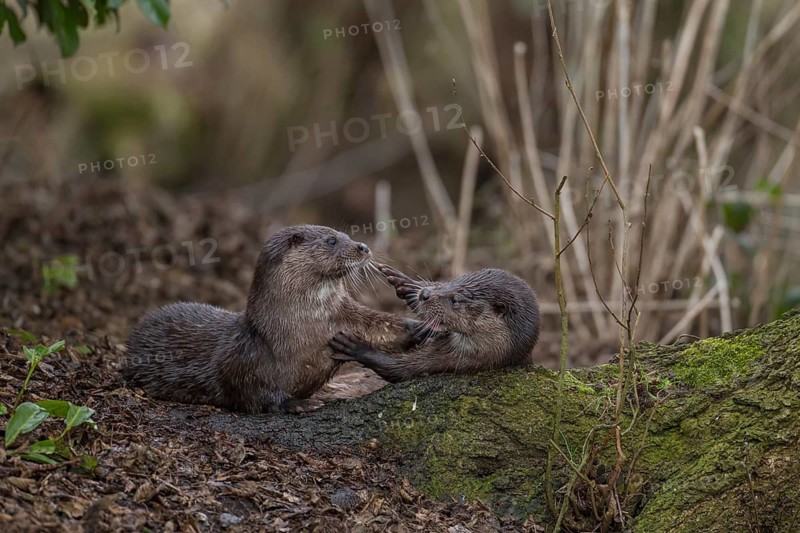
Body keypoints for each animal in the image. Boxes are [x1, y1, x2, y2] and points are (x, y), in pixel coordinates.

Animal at [123, 225, 419, 414]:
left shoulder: (345, 319)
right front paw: (296, 404)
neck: (305, 325)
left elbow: (380, 327)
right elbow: (253, 393)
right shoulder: (246, 361)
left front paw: (417, 327)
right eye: (331, 240)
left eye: (346, 234)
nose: (364, 246)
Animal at [329, 264, 540, 382]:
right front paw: (405, 283)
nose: (425, 294)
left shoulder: (454, 361)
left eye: (455, 300)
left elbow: (397, 369)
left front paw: (356, 347)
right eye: (453, 280)